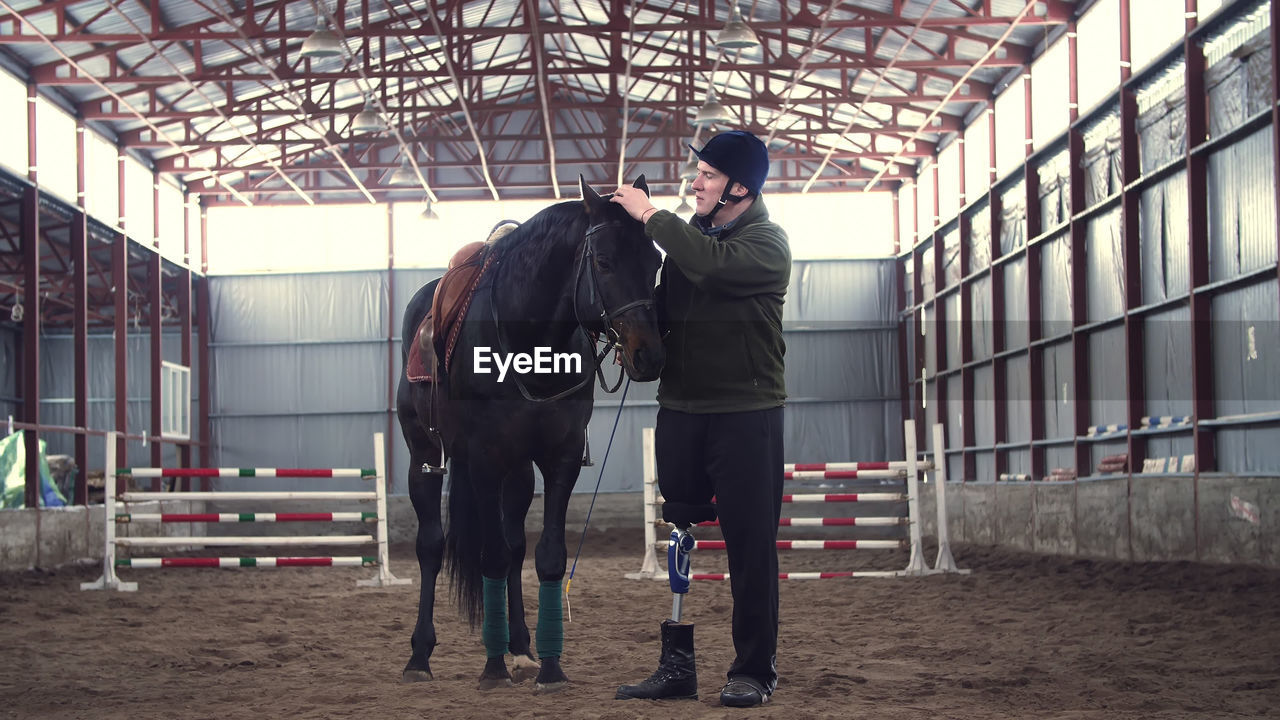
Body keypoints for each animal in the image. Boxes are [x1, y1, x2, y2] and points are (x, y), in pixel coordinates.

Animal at [394, 175, 665, 691]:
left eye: (656, 260)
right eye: (604, 261)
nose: (648, 354)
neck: (530, 345)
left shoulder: (560, 459)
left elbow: (546, 556)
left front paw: (550, 666)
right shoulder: (482, 460)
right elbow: (491, 557)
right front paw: (492, 667)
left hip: (517, 474)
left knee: (516, 545)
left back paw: (520, 648)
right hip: (425, 456)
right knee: (431, 546)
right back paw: (419, 656)